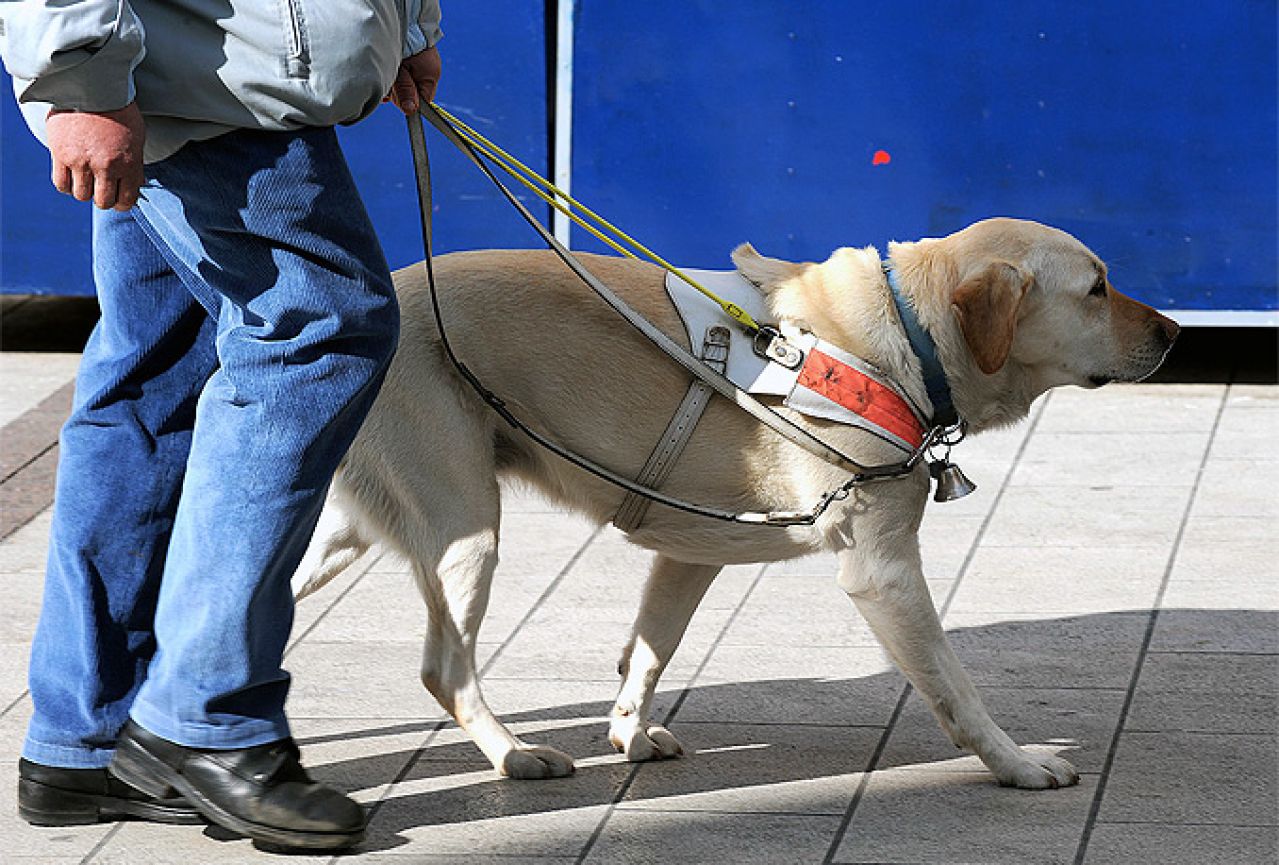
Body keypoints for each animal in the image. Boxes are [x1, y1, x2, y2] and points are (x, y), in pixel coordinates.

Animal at [292, 217, 1176, 788]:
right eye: (1096, 288)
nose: (1174, 331)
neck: (899, 337)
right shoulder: (882, 570)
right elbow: (954, 688)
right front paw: (1015, 763)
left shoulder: (688, 553)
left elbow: (650, 651)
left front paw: (628, 730)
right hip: (465, 527)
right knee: (444, 668)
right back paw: (513, 754)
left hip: (346, 531)